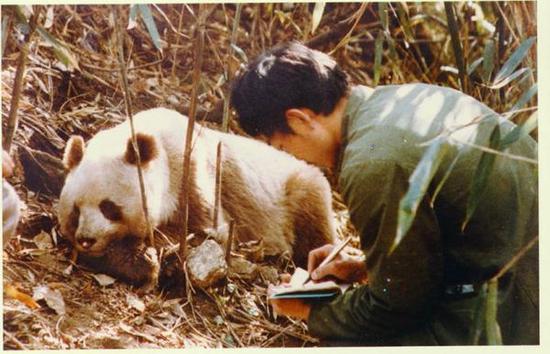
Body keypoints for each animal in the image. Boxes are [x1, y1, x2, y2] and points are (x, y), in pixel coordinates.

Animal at [59, 107, 336, 284]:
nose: (86, 239)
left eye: (108, 207)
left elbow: (207, 234)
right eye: (75, 210)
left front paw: (149, 257)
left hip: (292, 189)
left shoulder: (192, 172)